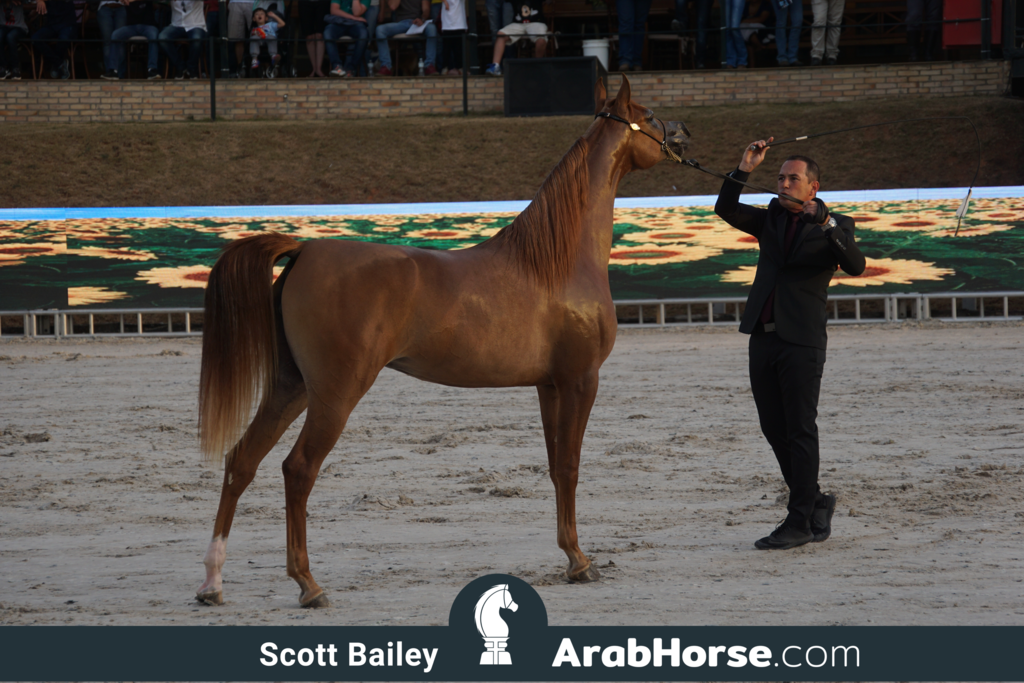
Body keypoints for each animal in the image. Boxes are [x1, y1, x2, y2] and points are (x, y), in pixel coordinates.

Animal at [195, 75, 689, 608]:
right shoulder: (581, 380)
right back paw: (308, 585)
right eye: (650, 114)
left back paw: (212, 583)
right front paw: (581, 562)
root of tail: (306, 249)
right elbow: (573, 466)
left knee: (242, 462)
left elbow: (556, 467)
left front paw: (570, 556)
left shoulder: (549, 386)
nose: (683, 133)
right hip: (335, 393)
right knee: (298, 469)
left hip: (292, 386)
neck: (556, 262)